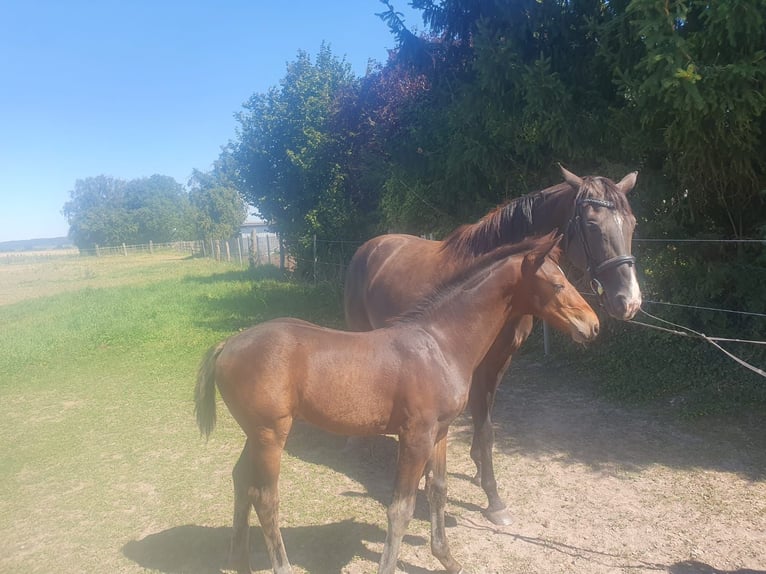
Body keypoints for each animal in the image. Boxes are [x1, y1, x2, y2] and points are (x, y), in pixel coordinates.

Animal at [195, 232, 599, 574]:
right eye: (558, 284)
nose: (592, 324)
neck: (440, 343)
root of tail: (226, 346)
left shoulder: (440, 433)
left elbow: (438, 491)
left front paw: (447, 558)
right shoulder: (415, 436)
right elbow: (401, 509)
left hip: (255, 434)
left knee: (240, 481)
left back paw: (238, 560)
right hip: (271, 435)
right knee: (265, 498)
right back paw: (279, 565)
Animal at [343, 165, 641, 525]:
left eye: (632, 223)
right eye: (592, 224)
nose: (628, 301)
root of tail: (370, 247)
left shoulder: (500, 362)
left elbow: (486, 425)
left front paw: (476, 470)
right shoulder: (480, 365)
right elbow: (484, 430)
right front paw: (494, 499)